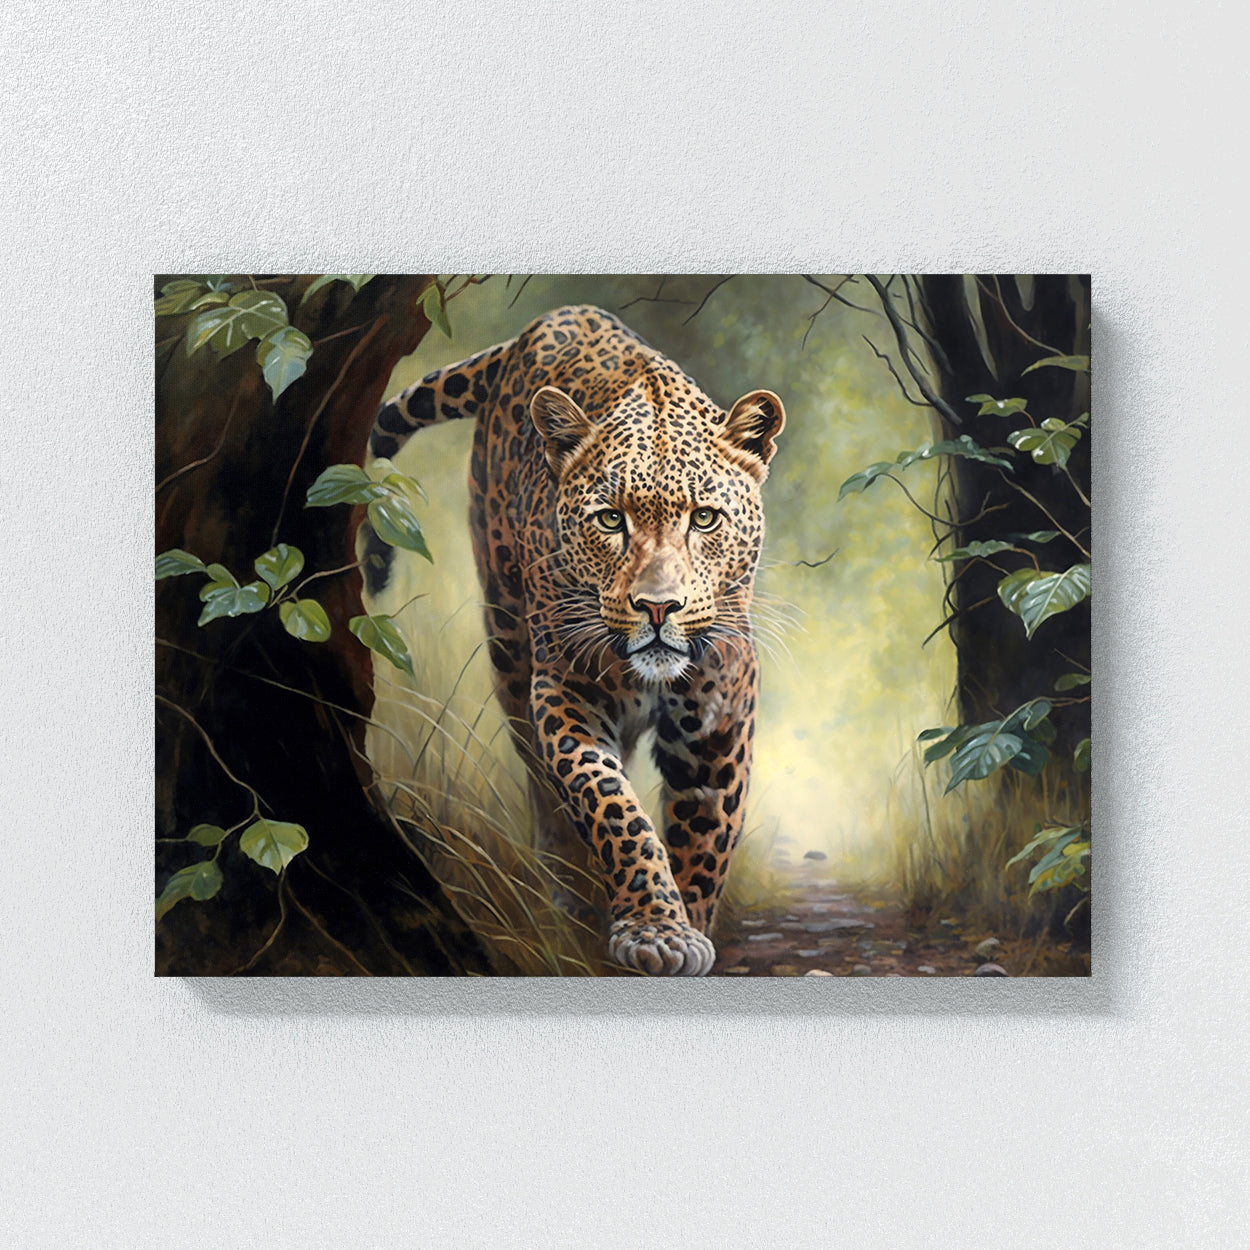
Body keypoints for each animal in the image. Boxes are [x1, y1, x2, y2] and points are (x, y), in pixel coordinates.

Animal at [367, 304, 785, 976]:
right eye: (611, 519)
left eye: (705, 519)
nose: (658, 606)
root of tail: (550, 319)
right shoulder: (567, 692)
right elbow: (610, 805)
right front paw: (654, 929)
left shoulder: (719, 717)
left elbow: (705, 834)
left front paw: (688, 924)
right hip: (509, 642)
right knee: (539, 775)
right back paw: (563, 890)